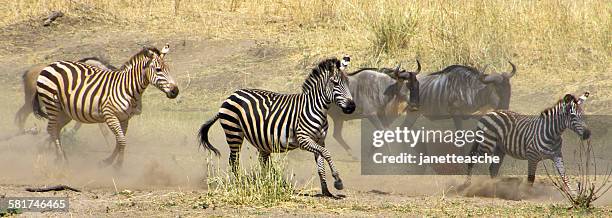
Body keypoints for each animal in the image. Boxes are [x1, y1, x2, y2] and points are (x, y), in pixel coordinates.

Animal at [32, 43, 179, 168]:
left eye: (169, 69)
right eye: (158, 70)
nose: (175, 91)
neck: (127, 88)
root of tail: (51, 64)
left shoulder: (124, 118)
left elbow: (119, 141)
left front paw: (107, 162)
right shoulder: (110, 116)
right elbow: (122, 141)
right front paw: (117, 166)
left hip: (65, 112)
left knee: (55, 129)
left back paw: (60, 157)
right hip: (52, 104)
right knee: (51, 129)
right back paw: (61, 159)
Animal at [198, 55, 356, 198]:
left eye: (348, 83)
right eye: (335, 83)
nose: (352, 107)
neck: (316, 108)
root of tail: (232, 94)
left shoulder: (319, 140)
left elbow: (321, 165)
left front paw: (326, 191)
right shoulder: (304, 140)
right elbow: (327, 154)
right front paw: (338, 181)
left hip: (259, 138)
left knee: (262, 161)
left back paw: (270, 183)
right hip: (234, 133)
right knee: (234, 160)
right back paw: (240, 184)